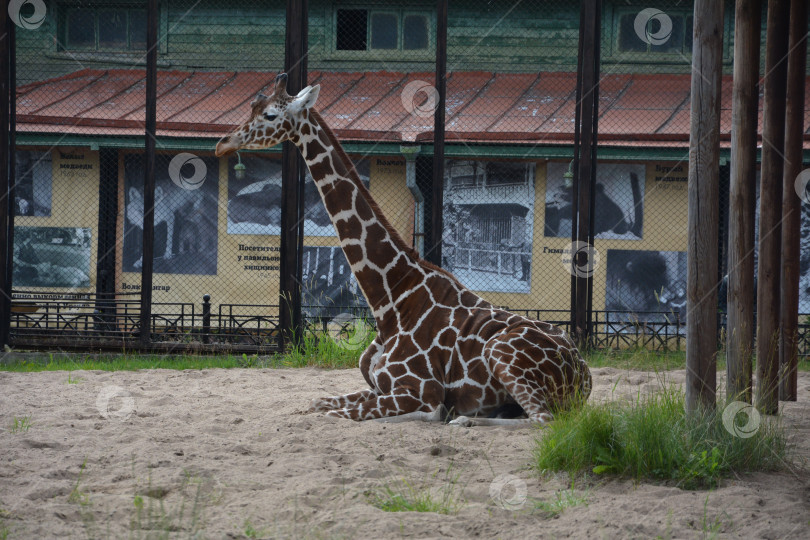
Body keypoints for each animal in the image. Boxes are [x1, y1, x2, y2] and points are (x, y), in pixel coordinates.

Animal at [215, 73, 592, 426]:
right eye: (251, 108)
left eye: (269, 114)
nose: (221, 144)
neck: (390, 301)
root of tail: (583, 373)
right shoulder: (376, 386)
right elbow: (317, 403)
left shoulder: (420, 392)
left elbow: (354, 414)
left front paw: (440, 415)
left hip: (503, 355)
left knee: (543, 420)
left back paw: (465, 420)